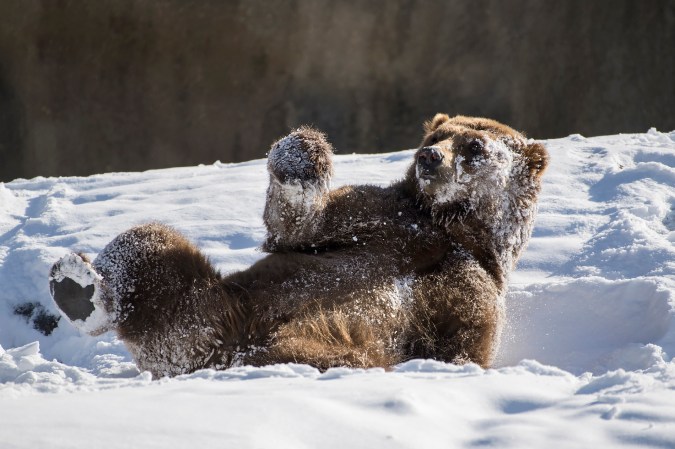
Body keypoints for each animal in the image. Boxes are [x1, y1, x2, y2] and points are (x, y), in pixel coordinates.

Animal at [48, 114, 548, 376]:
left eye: (474, 145)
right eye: (437, 136)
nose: (430, 157)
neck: (449, 226)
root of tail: (221, 354)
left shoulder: (472, 282)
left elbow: (464, 343)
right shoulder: (382, 218)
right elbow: (300, 224)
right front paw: (300, 156)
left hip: (323, 344)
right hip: (221, 303)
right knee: (149, 246)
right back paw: (79, 288)